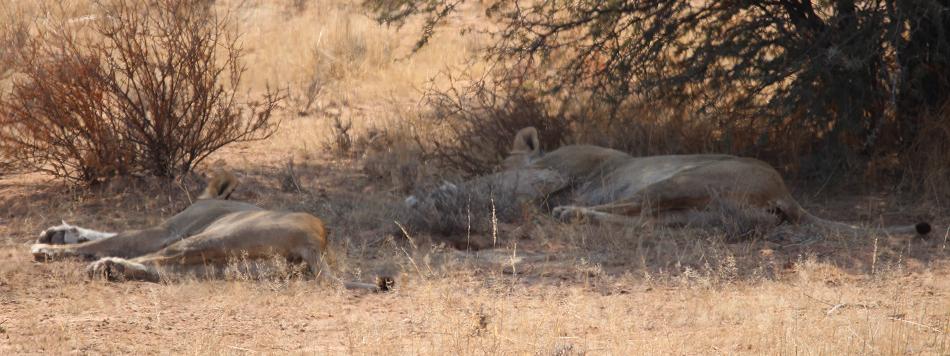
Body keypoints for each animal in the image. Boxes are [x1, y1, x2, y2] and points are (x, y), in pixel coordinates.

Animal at [31, 172, 392, 292]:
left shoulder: (167, 229)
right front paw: (57, 232)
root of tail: (317, 240)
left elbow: (118, 237)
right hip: (222, 266)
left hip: (210, 238)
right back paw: (112, 270)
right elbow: (105, 234)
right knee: (160, 269)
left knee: (153, 259)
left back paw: (104, 266)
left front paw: (49, 248)